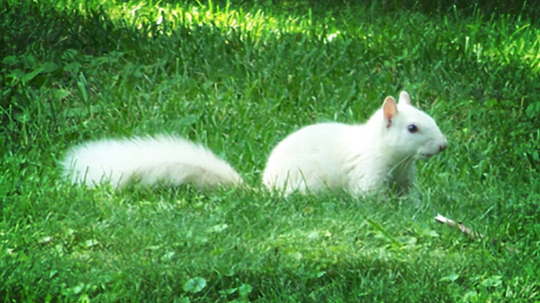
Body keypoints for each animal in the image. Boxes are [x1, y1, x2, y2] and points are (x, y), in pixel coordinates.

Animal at [61, 91, 448, 196]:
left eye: (430, 118)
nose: (443, 145)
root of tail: (265, 189)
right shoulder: (367, 172)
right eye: (413, 128)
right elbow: (370, 198)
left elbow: (410, 196)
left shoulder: (405, 177)